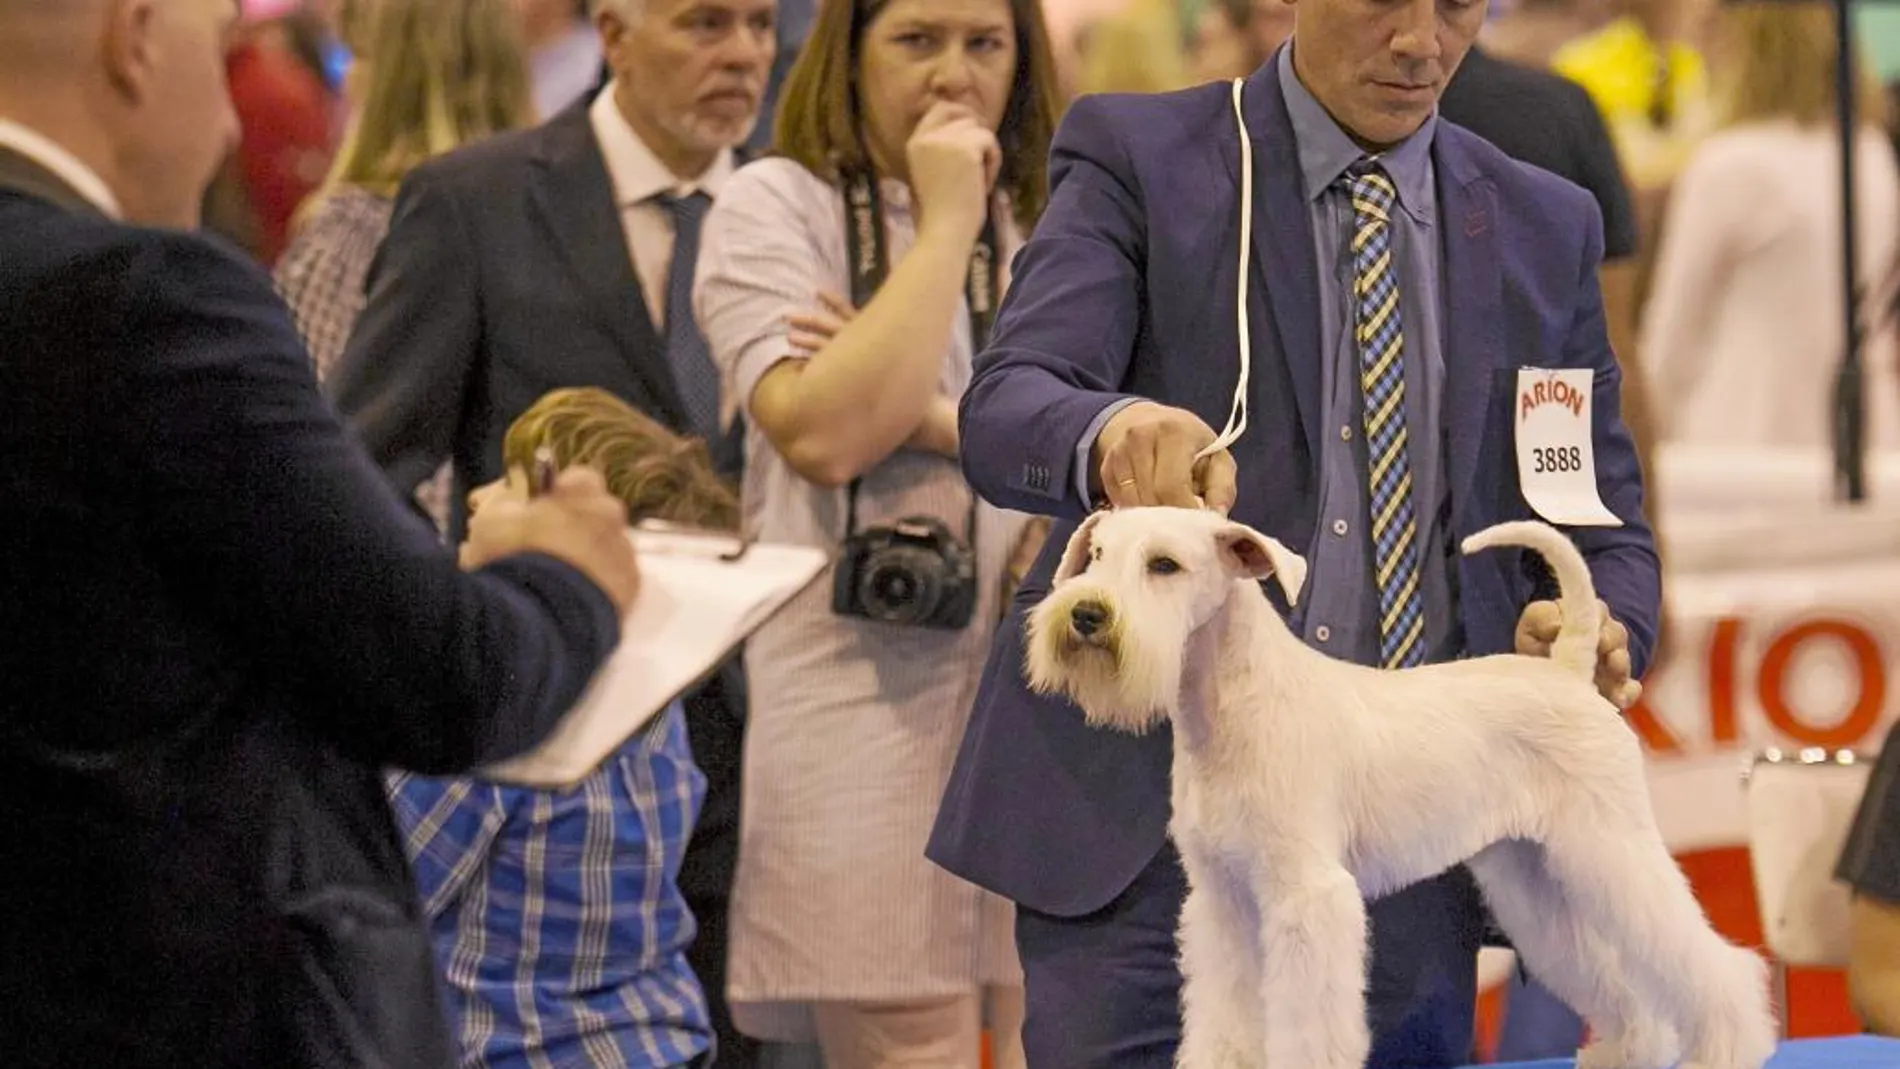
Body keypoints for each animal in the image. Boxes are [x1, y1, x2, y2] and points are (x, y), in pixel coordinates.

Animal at [1026, 508, 1778, 1069]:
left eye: (1164, 565)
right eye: (1095, 553)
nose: (1086, 614)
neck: (1231, 707)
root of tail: (1567, 670)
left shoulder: (1307, 898)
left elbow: (1308, 1026)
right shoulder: (1225, 902)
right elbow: (1225, 1019)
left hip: (1610, 851)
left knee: (1705, 961)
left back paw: (1727, 1045)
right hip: (1533, 878)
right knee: (1620, 982)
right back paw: (1627, 1050)